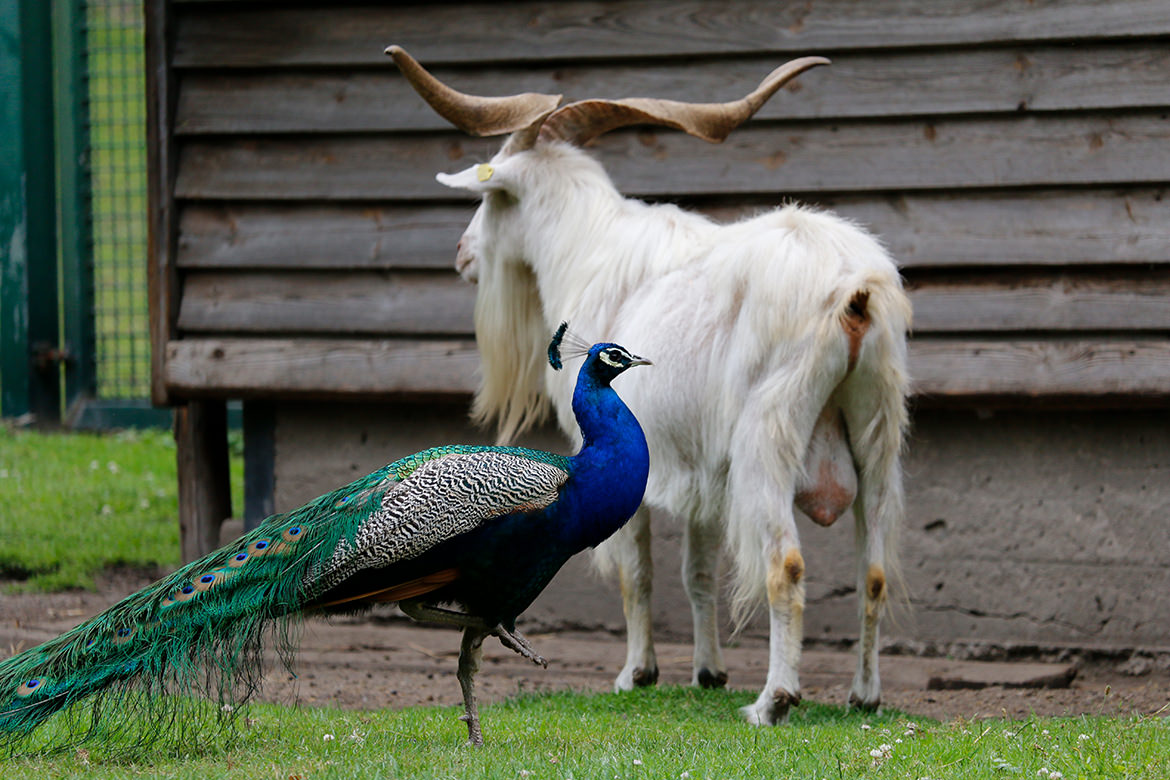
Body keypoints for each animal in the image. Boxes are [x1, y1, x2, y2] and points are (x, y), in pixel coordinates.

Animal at [393, 47, 912, 725]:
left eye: (492, 198)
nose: (462, 254)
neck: (591, 250)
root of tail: (856, 292)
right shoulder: (703, 470)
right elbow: (698, 573)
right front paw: (708, 673)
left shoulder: (623, 456)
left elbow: (634, 570)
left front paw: (636, 675)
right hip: (876, 428)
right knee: (873, 570)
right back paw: (863, 695)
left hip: (768, 435)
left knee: (786, 564)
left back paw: (773, 701)